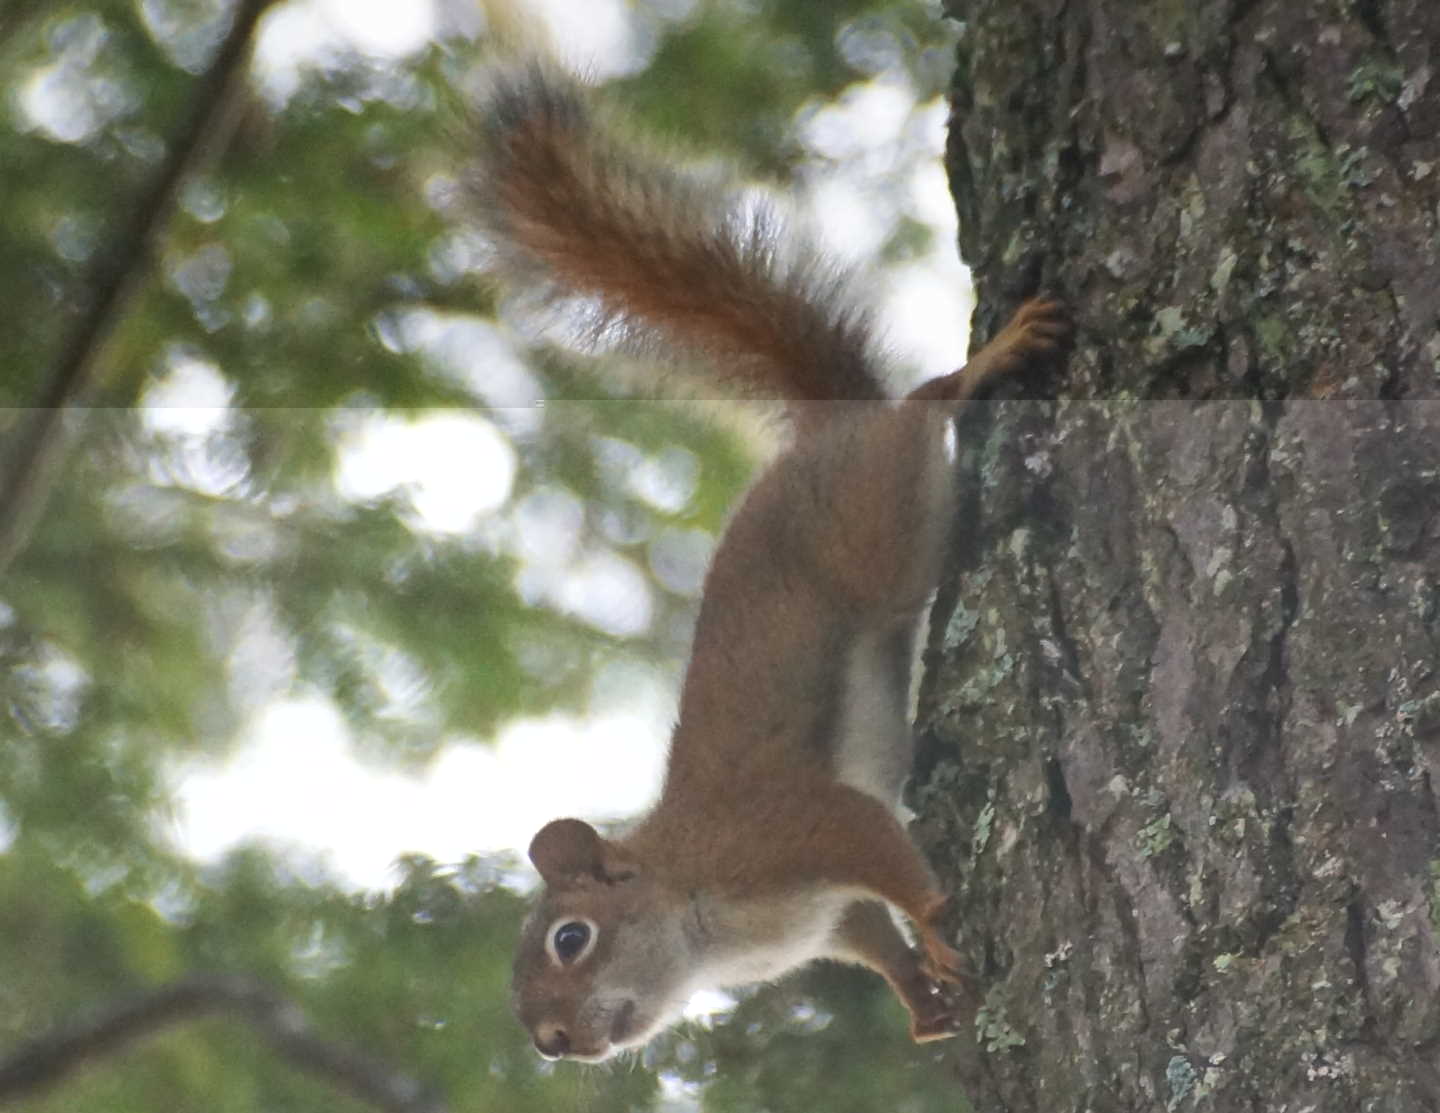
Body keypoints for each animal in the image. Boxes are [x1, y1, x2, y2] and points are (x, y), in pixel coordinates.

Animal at [476, 64, 1068, 1062]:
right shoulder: (821, 916)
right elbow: (871, 935)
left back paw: (989, 358)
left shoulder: (793, 826)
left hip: (880, 521)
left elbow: (883, 854)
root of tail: (821, 431)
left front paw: (934, 920)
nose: (552, 1041)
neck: (696, 911)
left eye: (570, 938)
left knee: (921, 407)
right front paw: (924, 1002)